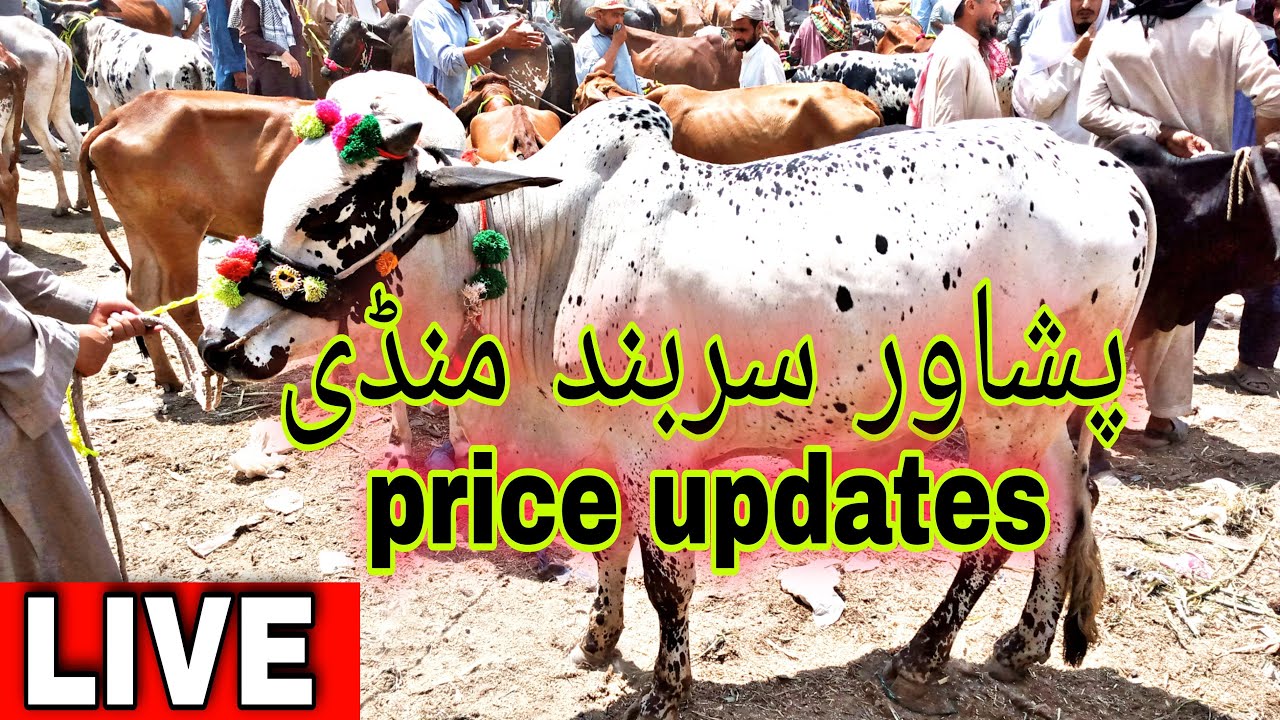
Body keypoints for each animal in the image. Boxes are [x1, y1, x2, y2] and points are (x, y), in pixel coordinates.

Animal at [0, 17, 86, 217]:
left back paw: (62, 205)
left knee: (53, 150)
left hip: (34, 110)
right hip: (60, 106)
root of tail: (52, 41)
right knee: (76, 143)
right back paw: (81, 201)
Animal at [199, 82, 1153, 720]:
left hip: (1001, 421)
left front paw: (665, 686)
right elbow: (609, 551)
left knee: (1004, 532)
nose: (218, 343)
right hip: (1043, 421)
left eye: (335, 210)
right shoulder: (606, 453)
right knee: (1071, 507)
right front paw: (596, 640)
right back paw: (1024, 645)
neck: (548, 253)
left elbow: (667, 578)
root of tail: (1115, 172)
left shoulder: (655, 453)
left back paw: (924, 658)